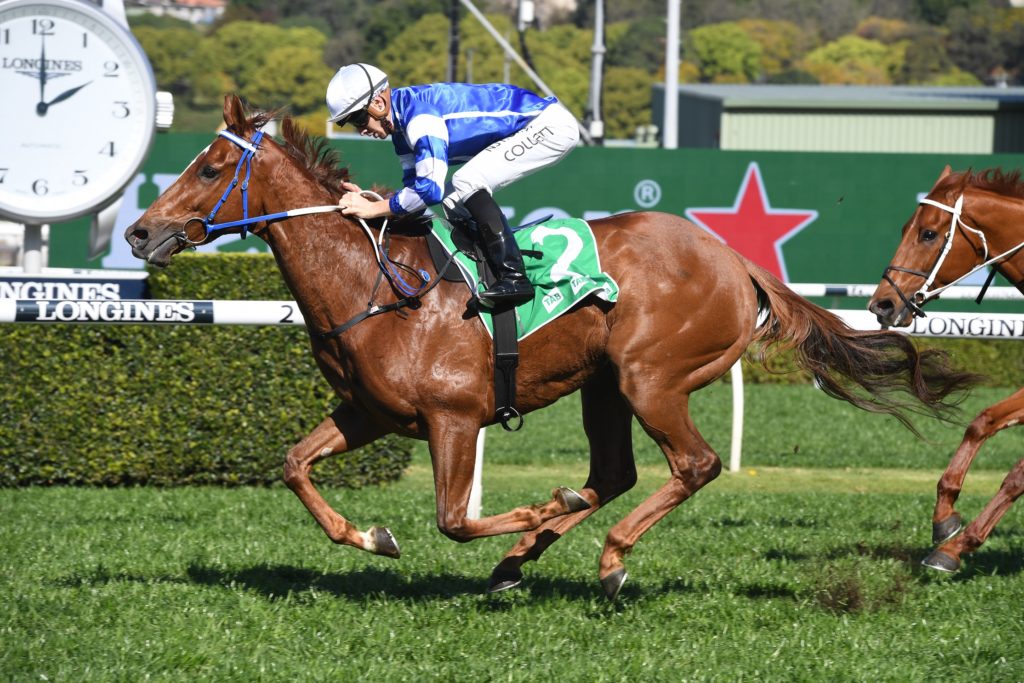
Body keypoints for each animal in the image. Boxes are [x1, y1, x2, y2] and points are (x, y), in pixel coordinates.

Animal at [126, 95, 977, 599]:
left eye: (209, 166)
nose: (138, 230)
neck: (378, 283)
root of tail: (736, 261)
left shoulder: (453, 417)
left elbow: (453, 518)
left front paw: (534, 508)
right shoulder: (369, 413)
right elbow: (295, 465)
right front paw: (371, 535)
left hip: (650, 377)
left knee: (691, 465)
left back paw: (607, 557)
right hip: (603, 383)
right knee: (616, 471)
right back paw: (522, 560)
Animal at [869, 165, 1024, 574]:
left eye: (928, 233)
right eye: (904, 228)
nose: (882, 305)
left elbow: (1018, 473)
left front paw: (958, 546)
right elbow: (982, 421)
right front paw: (945, 519)